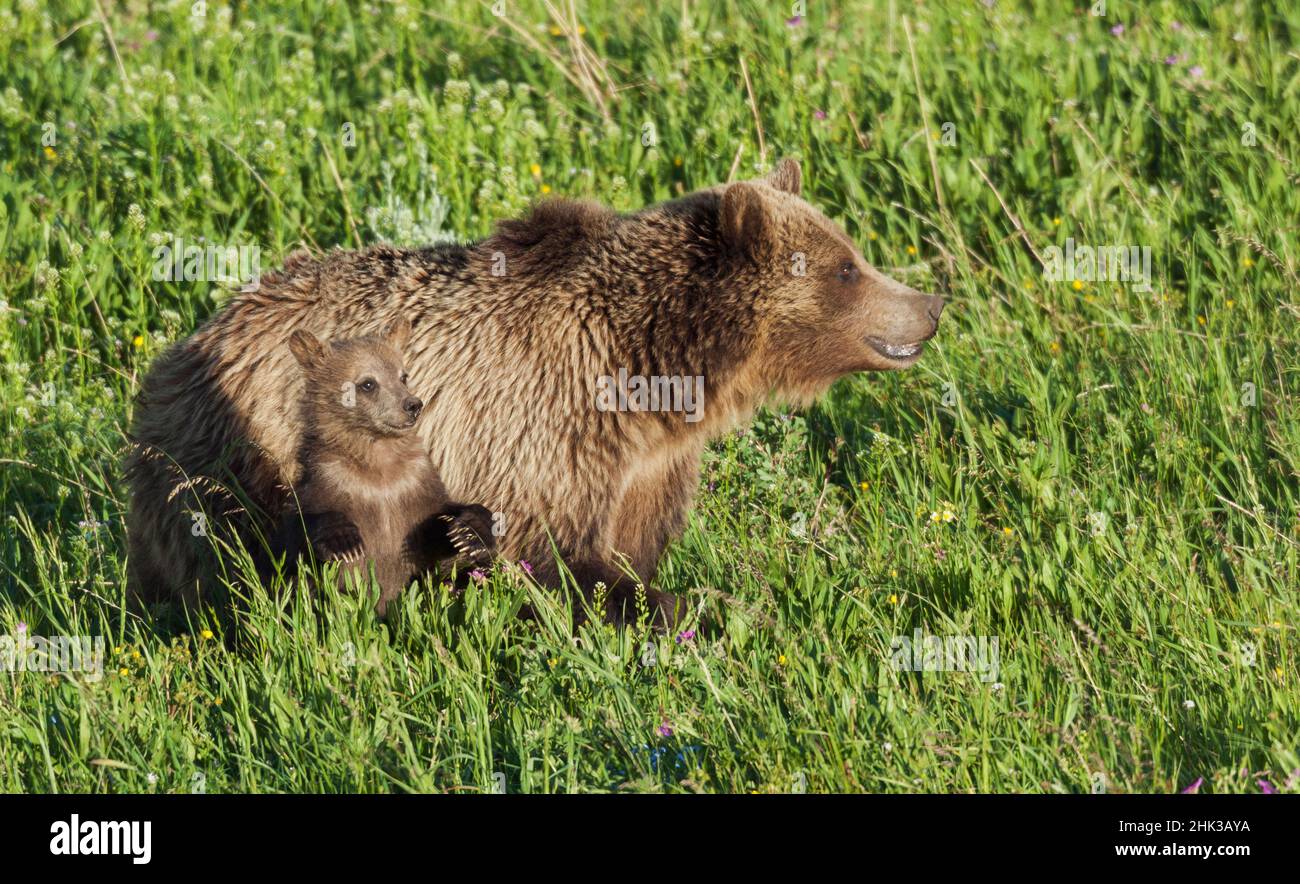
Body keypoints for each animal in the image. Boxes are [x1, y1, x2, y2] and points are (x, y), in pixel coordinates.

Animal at [271, 319, 494, 617]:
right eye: (367, 383)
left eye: (403, 375)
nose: (413, 405)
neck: (379, 469)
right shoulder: (328, 480)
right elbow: (295, 536)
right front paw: (344, 540)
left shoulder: (415, 486)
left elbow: (437, 524)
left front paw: (469, 532)